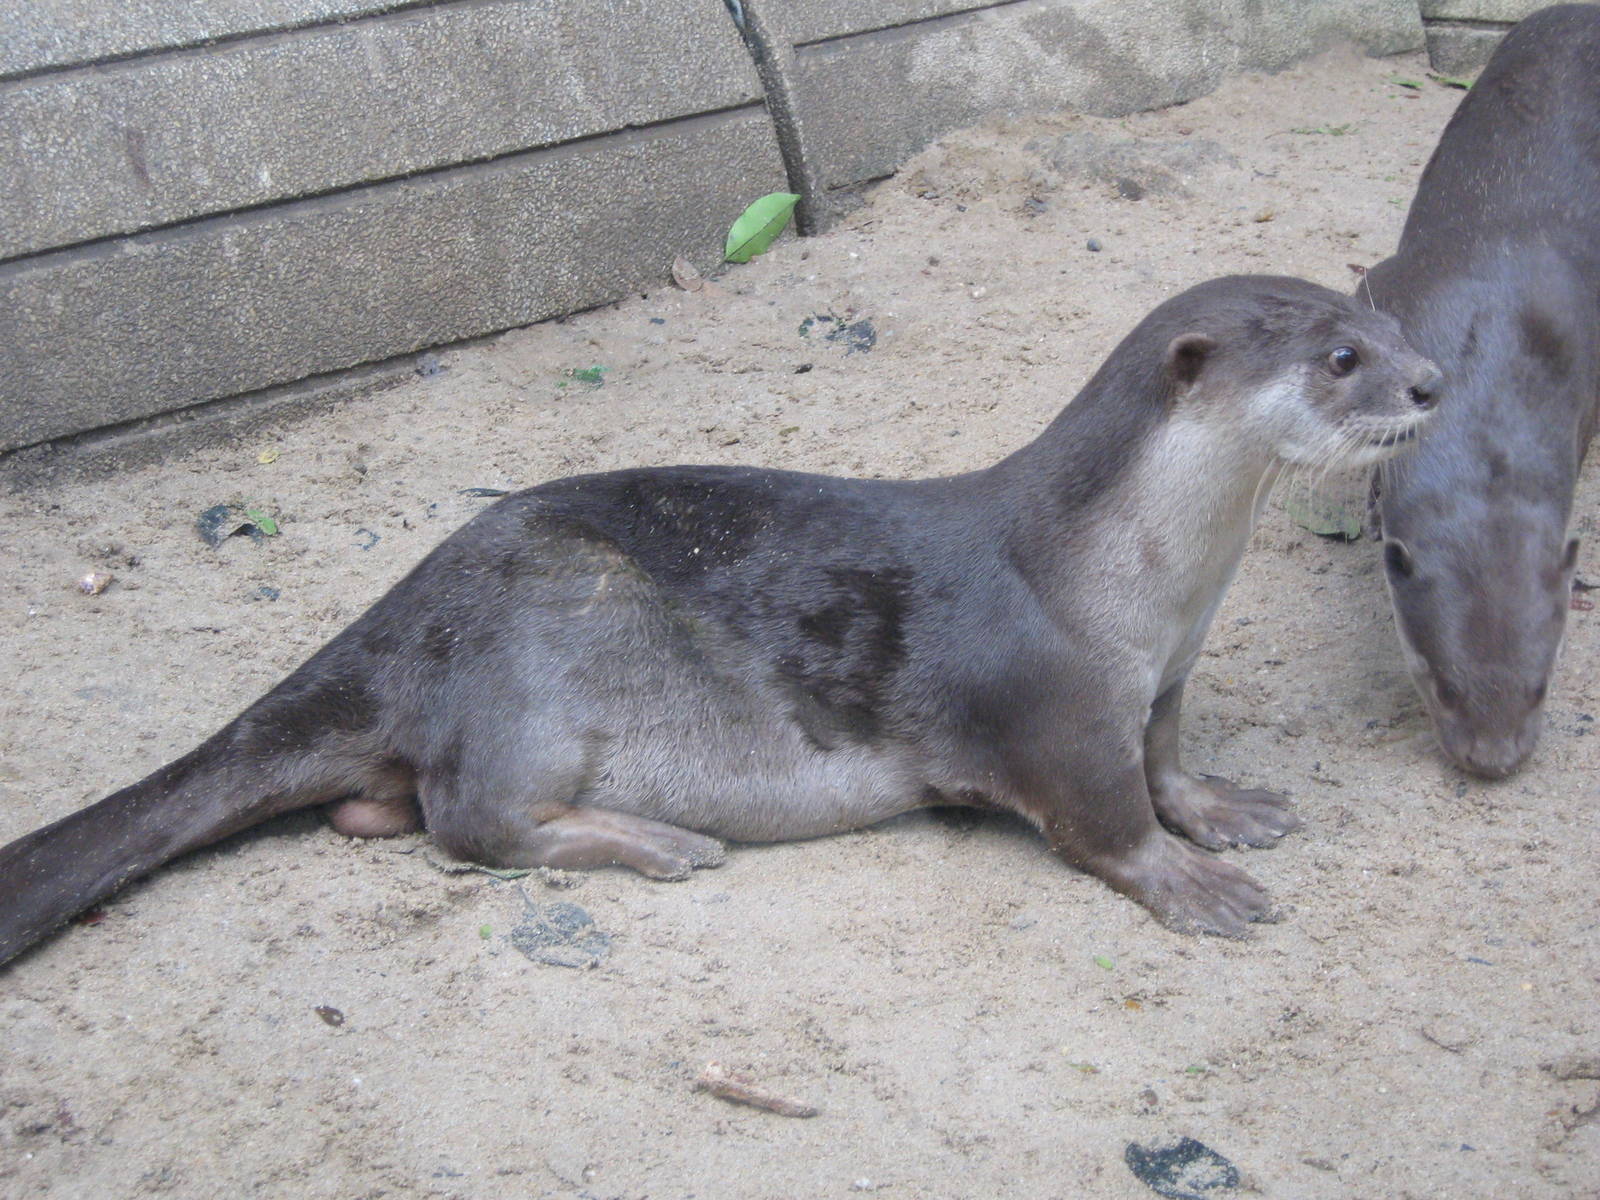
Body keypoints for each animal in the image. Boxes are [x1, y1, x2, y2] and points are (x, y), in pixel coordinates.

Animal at [0, 275, 1439, 965]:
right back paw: (658, 843)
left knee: (404, 814)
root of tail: (397, 615)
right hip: (535, 642)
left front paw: (1226, 812)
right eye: (1339, 357)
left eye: (1385, 320)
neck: (1130, 583)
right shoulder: (1057, 709)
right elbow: (1106, 821)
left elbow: (1173, 765)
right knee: (469, 820)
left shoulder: (1164, 680)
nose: (1432, 378)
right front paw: (1189, 883)